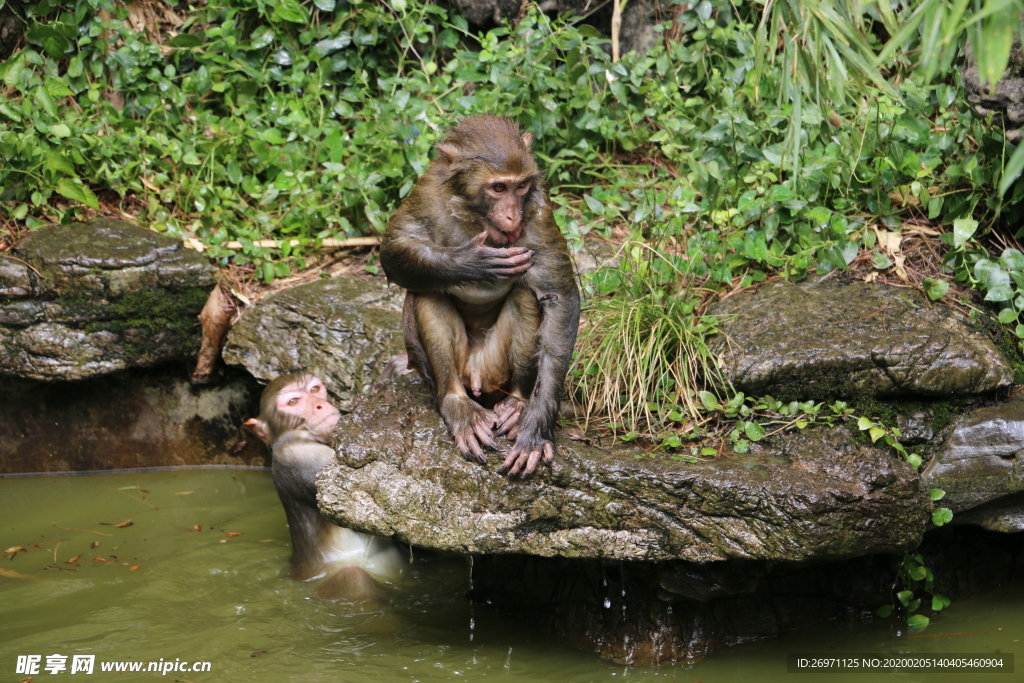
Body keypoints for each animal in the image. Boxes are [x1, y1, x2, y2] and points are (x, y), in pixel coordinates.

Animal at [380, 116, 581, 481]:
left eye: (520, 187)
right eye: (498, 188)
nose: (513, 216)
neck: (475, 215)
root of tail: (475, 374)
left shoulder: (537, 207)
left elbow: (558, 296)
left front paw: (538, 423)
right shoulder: (427, 191)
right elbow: (393, 249)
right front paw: (470, 262)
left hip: (495, 368)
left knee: (525, 296)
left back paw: (518, 402)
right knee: (426, 292)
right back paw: (456, 403)